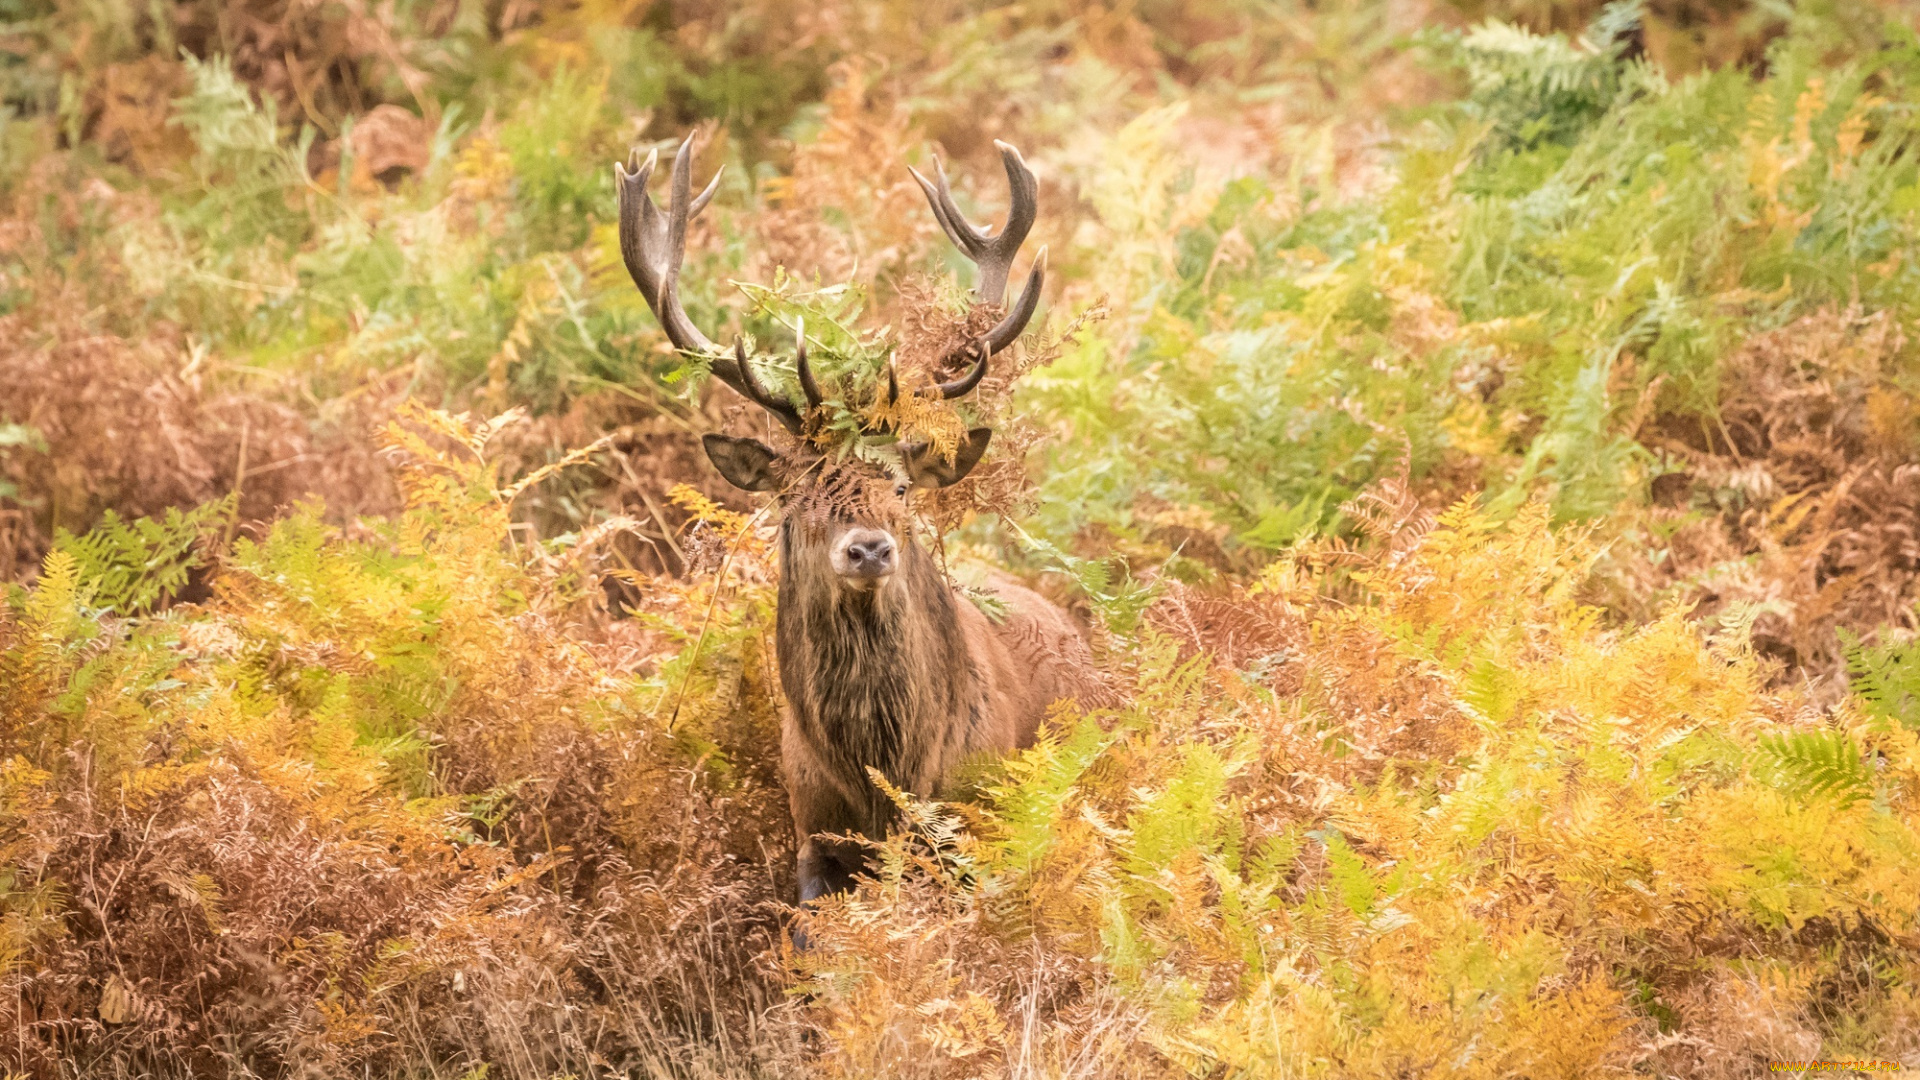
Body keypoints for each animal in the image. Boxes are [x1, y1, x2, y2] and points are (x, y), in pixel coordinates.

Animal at [614, 138, 1098, 903]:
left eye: (900, 485)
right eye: (796, 494)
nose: (867, 550)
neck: (886, 785)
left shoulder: (973, 828)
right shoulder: (810, 831)